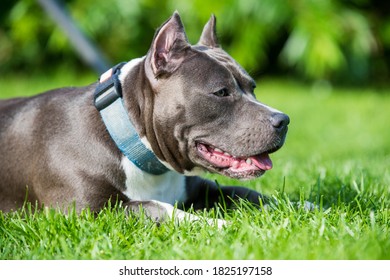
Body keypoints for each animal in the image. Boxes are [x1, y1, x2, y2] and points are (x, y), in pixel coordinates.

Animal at [0, 12, 290, 225]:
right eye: (221, 92)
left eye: (252, 87)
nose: (283, 120)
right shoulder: (87, 213)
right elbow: (158, 208)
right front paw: (218, 225)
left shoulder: (201, 188)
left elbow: (247, 193)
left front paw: (296, 206)